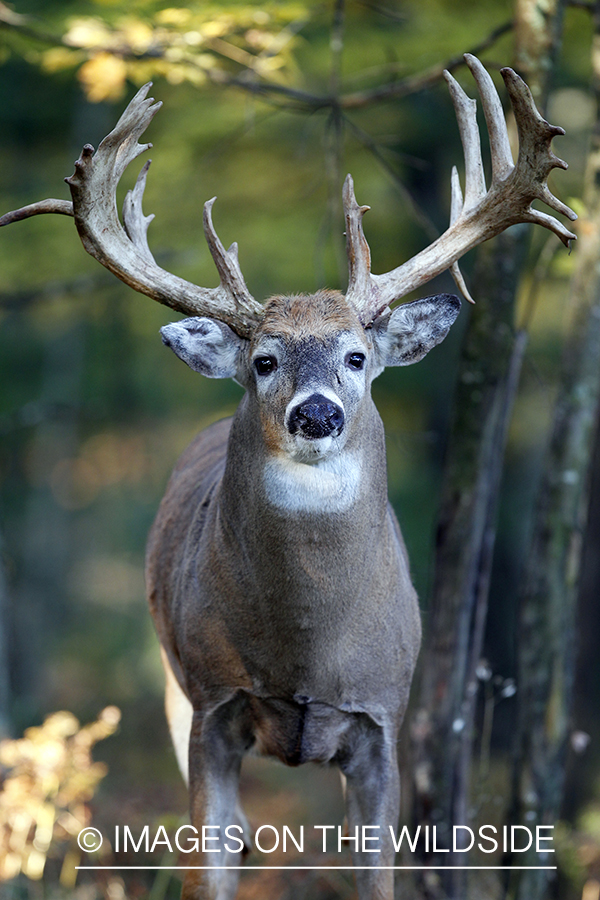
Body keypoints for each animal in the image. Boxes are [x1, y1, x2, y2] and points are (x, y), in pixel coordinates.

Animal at [1, 56, 576, 900]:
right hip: (171, 686)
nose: (316, 413)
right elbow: (207, 865)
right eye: (264, 360)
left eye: (357, 357)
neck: (307, 649)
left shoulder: (382, 716)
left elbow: (378, 876)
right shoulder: (211, 706)